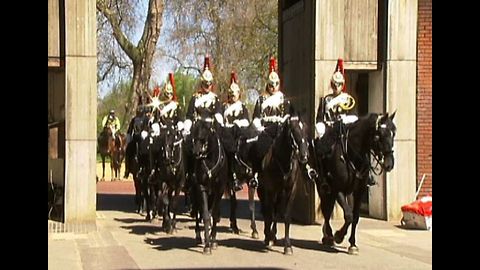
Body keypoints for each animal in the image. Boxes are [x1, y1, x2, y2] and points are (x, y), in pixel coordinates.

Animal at [190, 118, 228, 255]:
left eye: (204, 136)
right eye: (193, 135)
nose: (195, 153)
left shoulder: (219, 190)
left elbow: (215, 215)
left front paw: (213, 241)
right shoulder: (202, 188)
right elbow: (206, 215)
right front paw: (207, 245)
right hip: (194, 193)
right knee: (197, 211)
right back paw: (198, 235)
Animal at [256, 115, 310, 254]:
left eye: (305, 130)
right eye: (294, 131)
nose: (304, 155)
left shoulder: (291, 190)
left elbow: (286, 216)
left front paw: (288, 246)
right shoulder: (270, 190)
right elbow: (269, 213)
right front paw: (268, 237)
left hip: (279, 193)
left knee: (275, 210)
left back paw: (273, 235)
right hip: (263, 191)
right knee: (267, 210)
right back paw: (268, 236)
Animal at [314, 112, 396, 255]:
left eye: (393, 133)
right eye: (379, 134)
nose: (389, 164)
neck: (352, 155)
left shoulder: (359, 191)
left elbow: (355, 217)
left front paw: (352, 244)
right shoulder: (337, 189)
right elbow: (348, 215)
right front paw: (339, 236)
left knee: (328, 209)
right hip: (323, 187)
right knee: (326, 210)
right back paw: (328, 235)